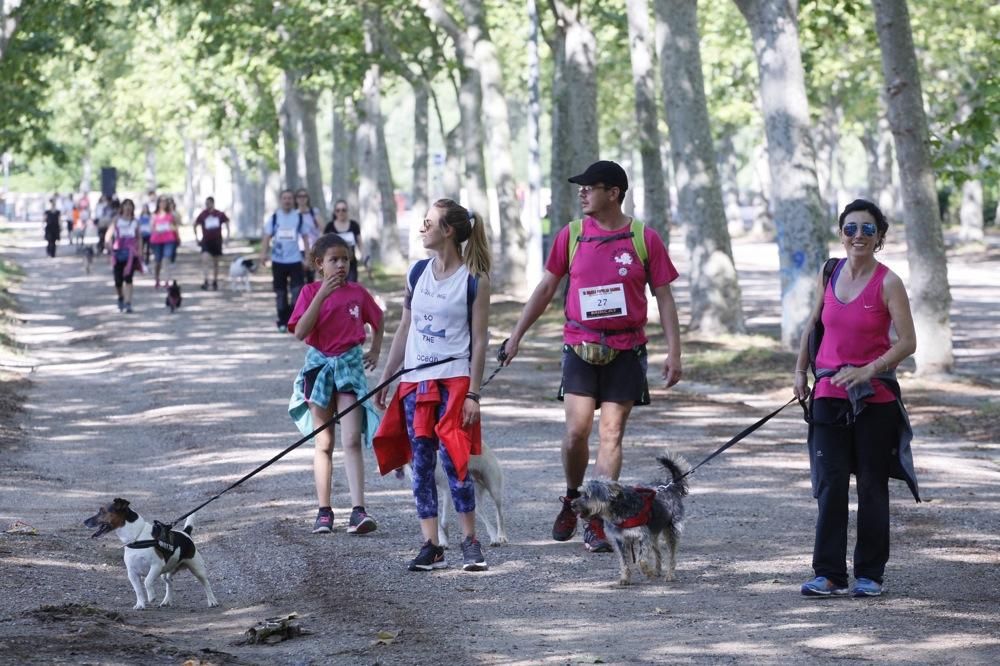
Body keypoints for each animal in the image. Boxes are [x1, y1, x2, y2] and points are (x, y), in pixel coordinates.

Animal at [572, 452, 688, 588]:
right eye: (581, 493)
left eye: (587, 495)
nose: (572, 504)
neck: (617, 509)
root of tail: (670, 486)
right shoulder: (620, 540)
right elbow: (624, 561)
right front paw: (625, 578)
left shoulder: (643, 536)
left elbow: (641, 560)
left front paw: (647, 572)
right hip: (653, 534)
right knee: (658, 552)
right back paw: (657, 570)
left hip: (671, 531)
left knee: (672, 556)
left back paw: (669, 575)